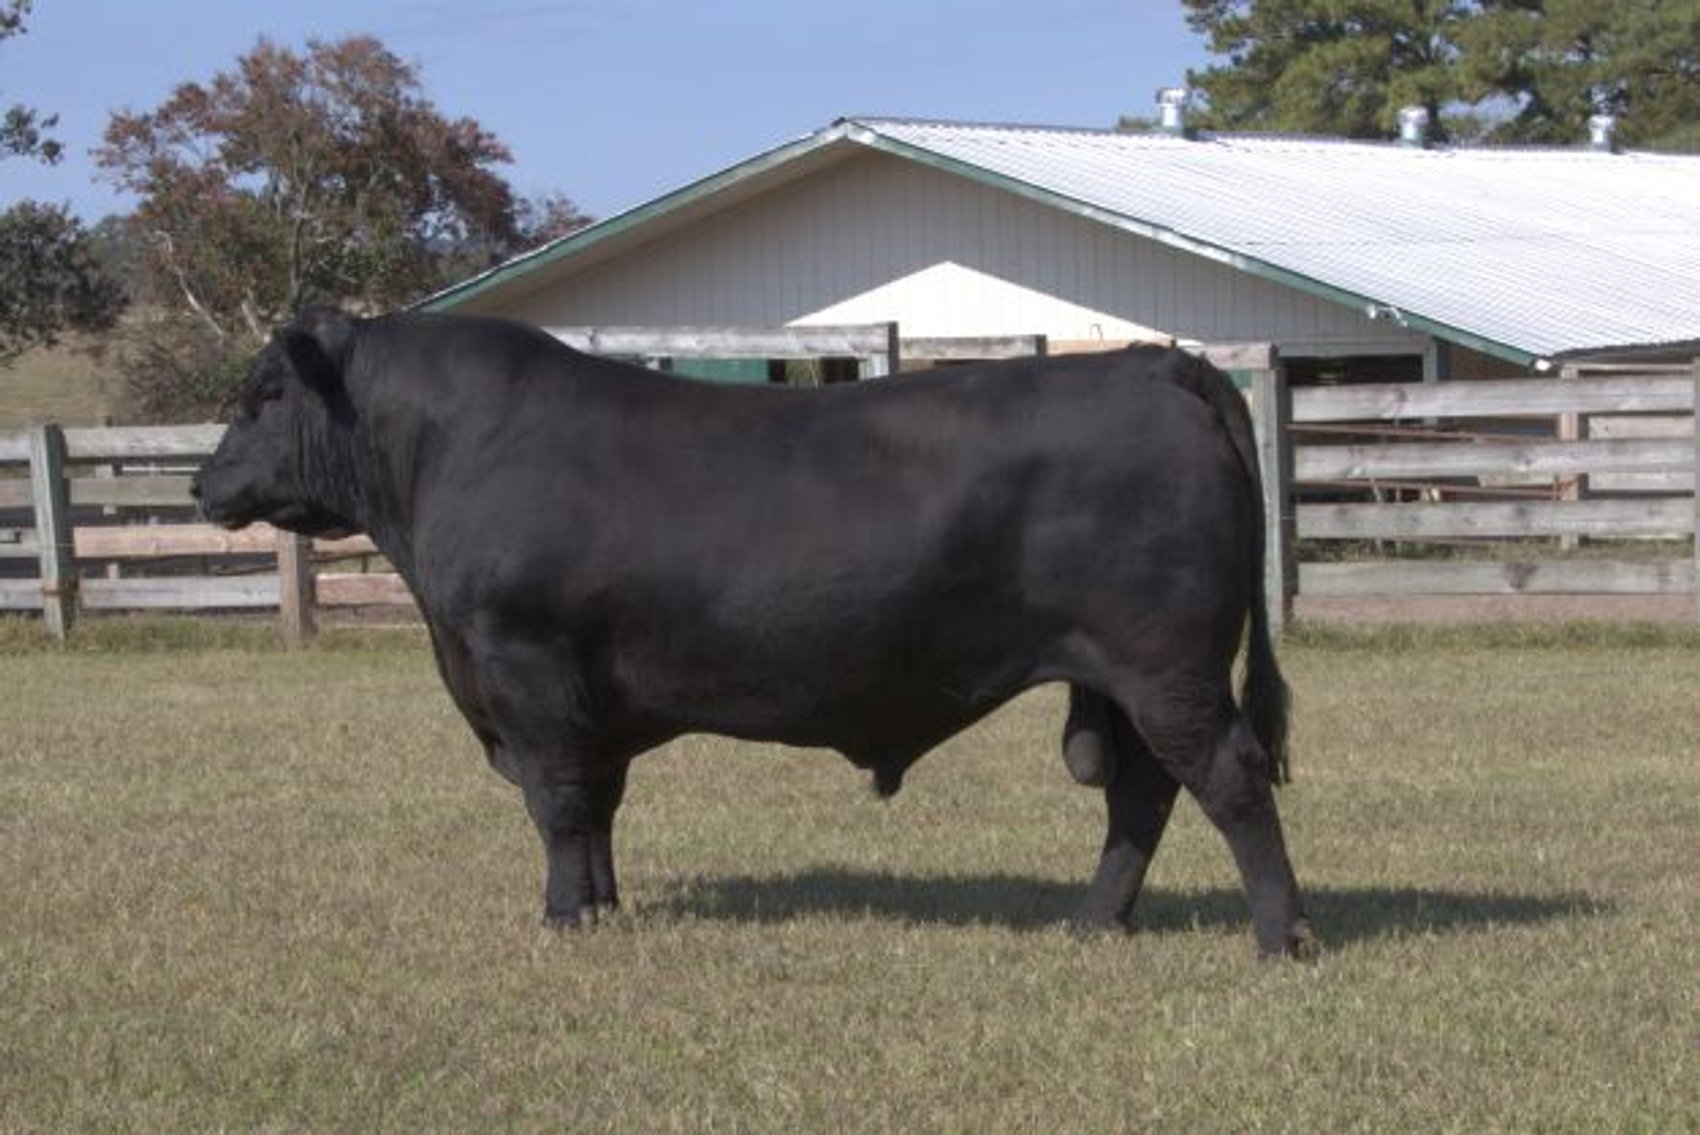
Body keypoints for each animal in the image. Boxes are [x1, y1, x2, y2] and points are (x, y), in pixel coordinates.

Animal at [192, 308, 1313, 957]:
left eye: (262, 395)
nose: (203, 483)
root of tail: (1151, 365)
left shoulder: (523, 665)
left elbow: (557, 802)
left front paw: (563, 919)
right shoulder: (583, 696)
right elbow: (597, 803)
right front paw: (603, 905)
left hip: (1165, 666)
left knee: (1224, 778)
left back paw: (1281, 937)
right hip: (1124, 677)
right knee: (1140, 792)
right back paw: (1092, 925)